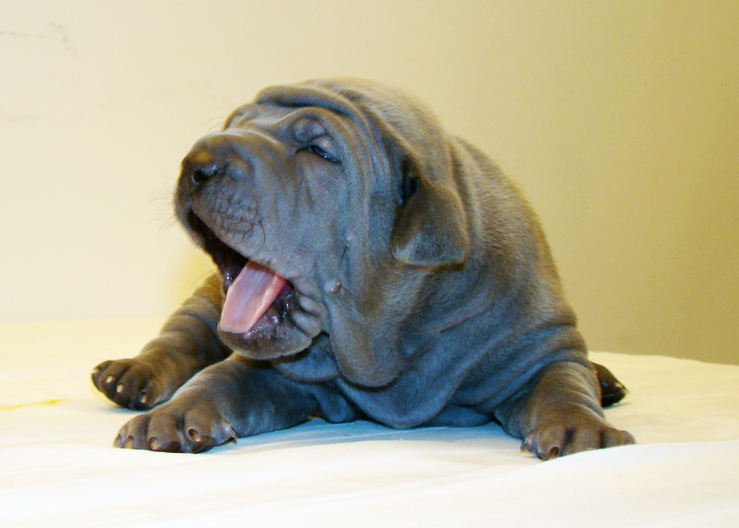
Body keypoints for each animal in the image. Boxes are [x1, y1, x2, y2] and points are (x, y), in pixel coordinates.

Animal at [92, 78, 635, 459]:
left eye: (318, 150)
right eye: (236, 123)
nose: (196, 161)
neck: (387, 337)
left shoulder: (539, 343)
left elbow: (563, 383)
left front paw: (582, 427)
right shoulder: (278, 374)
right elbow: (220, 377)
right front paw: (173, 415)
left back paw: (604, 380)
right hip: (206, 300)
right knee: (181, 336)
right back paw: (130, 374)